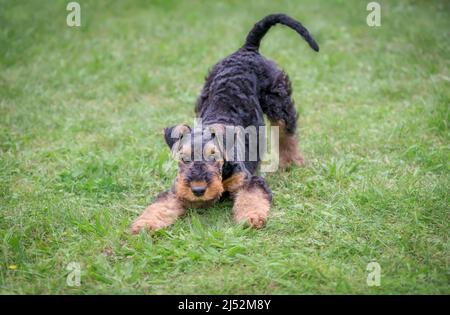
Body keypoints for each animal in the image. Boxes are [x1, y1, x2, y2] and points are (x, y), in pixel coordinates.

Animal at [132, 13, 318, 233]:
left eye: (214, 156)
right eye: (184, 158)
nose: (198, 190)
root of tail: (247, 49)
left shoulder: (249, 181)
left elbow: (251, 198)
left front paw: (251, 217)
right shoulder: (177, 189)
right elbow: (161, 204)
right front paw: (145, 224)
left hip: (279, 100)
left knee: (287, 134)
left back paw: (291, 162)